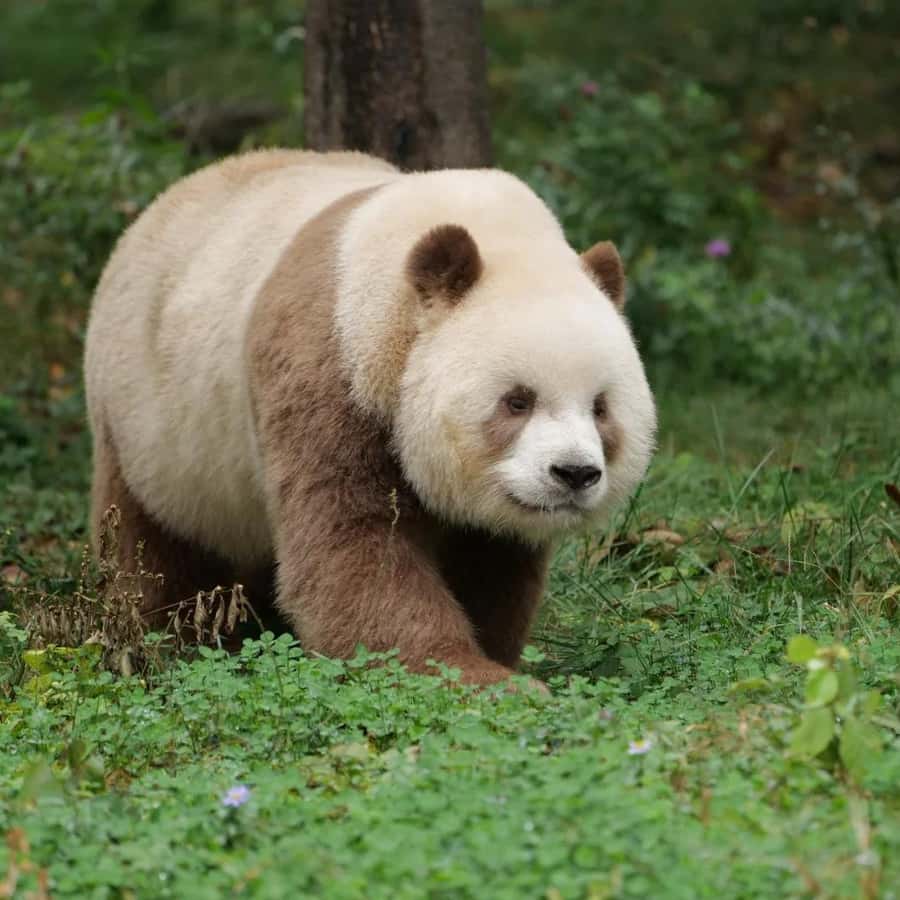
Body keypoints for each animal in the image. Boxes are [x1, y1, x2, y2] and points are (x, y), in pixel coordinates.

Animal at [84, 149, 656, 685]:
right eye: (518, 400)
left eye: (600, 407)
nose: (574, 474)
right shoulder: (331, 369)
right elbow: (355, 545)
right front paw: (476, 678)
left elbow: (491, 565)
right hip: (152, 424)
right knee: (153, 550)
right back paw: (166, 646)